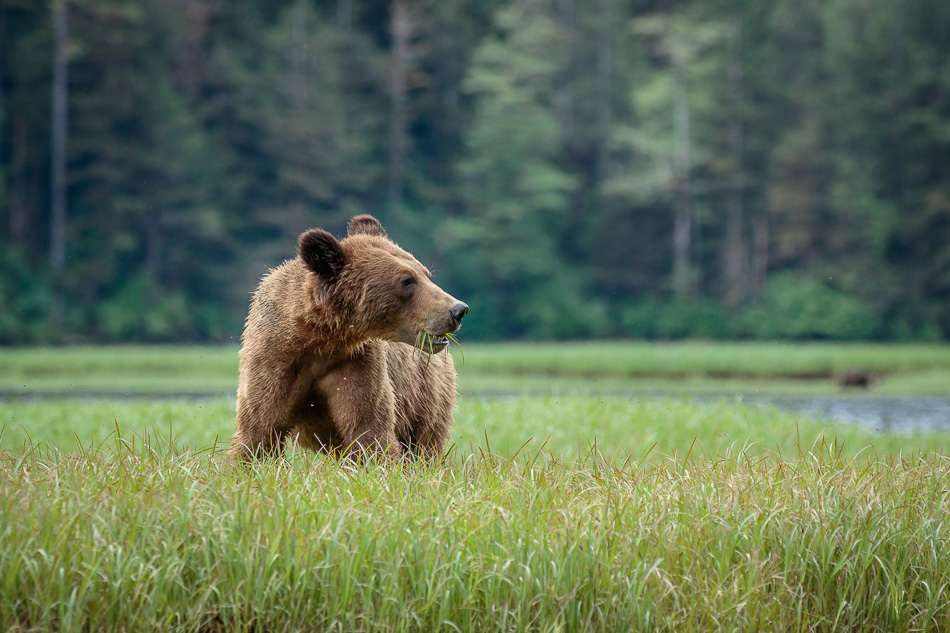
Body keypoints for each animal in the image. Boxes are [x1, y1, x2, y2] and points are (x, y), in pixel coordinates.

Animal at [229, 214, 468, 462]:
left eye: (426, 274)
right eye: (407, 280)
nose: (458, 309)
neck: (320, 340)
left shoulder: (355, 363)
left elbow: (369, 430)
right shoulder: (274, 360)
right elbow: (259, 429)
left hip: (425, 391)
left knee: (424, 444)